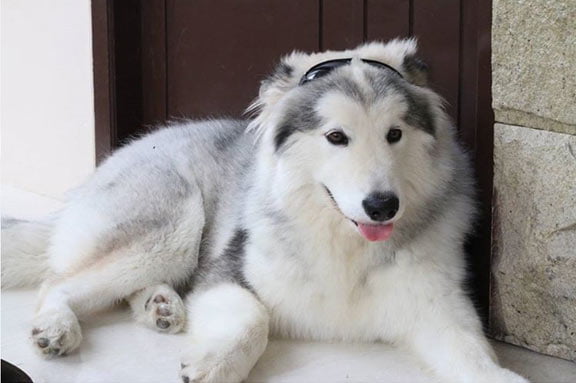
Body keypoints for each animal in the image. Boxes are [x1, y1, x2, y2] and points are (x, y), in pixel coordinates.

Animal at [2, 39, 528, 383]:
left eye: (394, 134)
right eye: (336, 136)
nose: (382, 206)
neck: (345, 243)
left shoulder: (438, 306)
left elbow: (475, 355)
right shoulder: (227, 273)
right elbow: (252, 319)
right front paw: (215, 364)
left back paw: (161, 306)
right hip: (175, 225)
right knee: (59, 281)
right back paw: (59, 326)